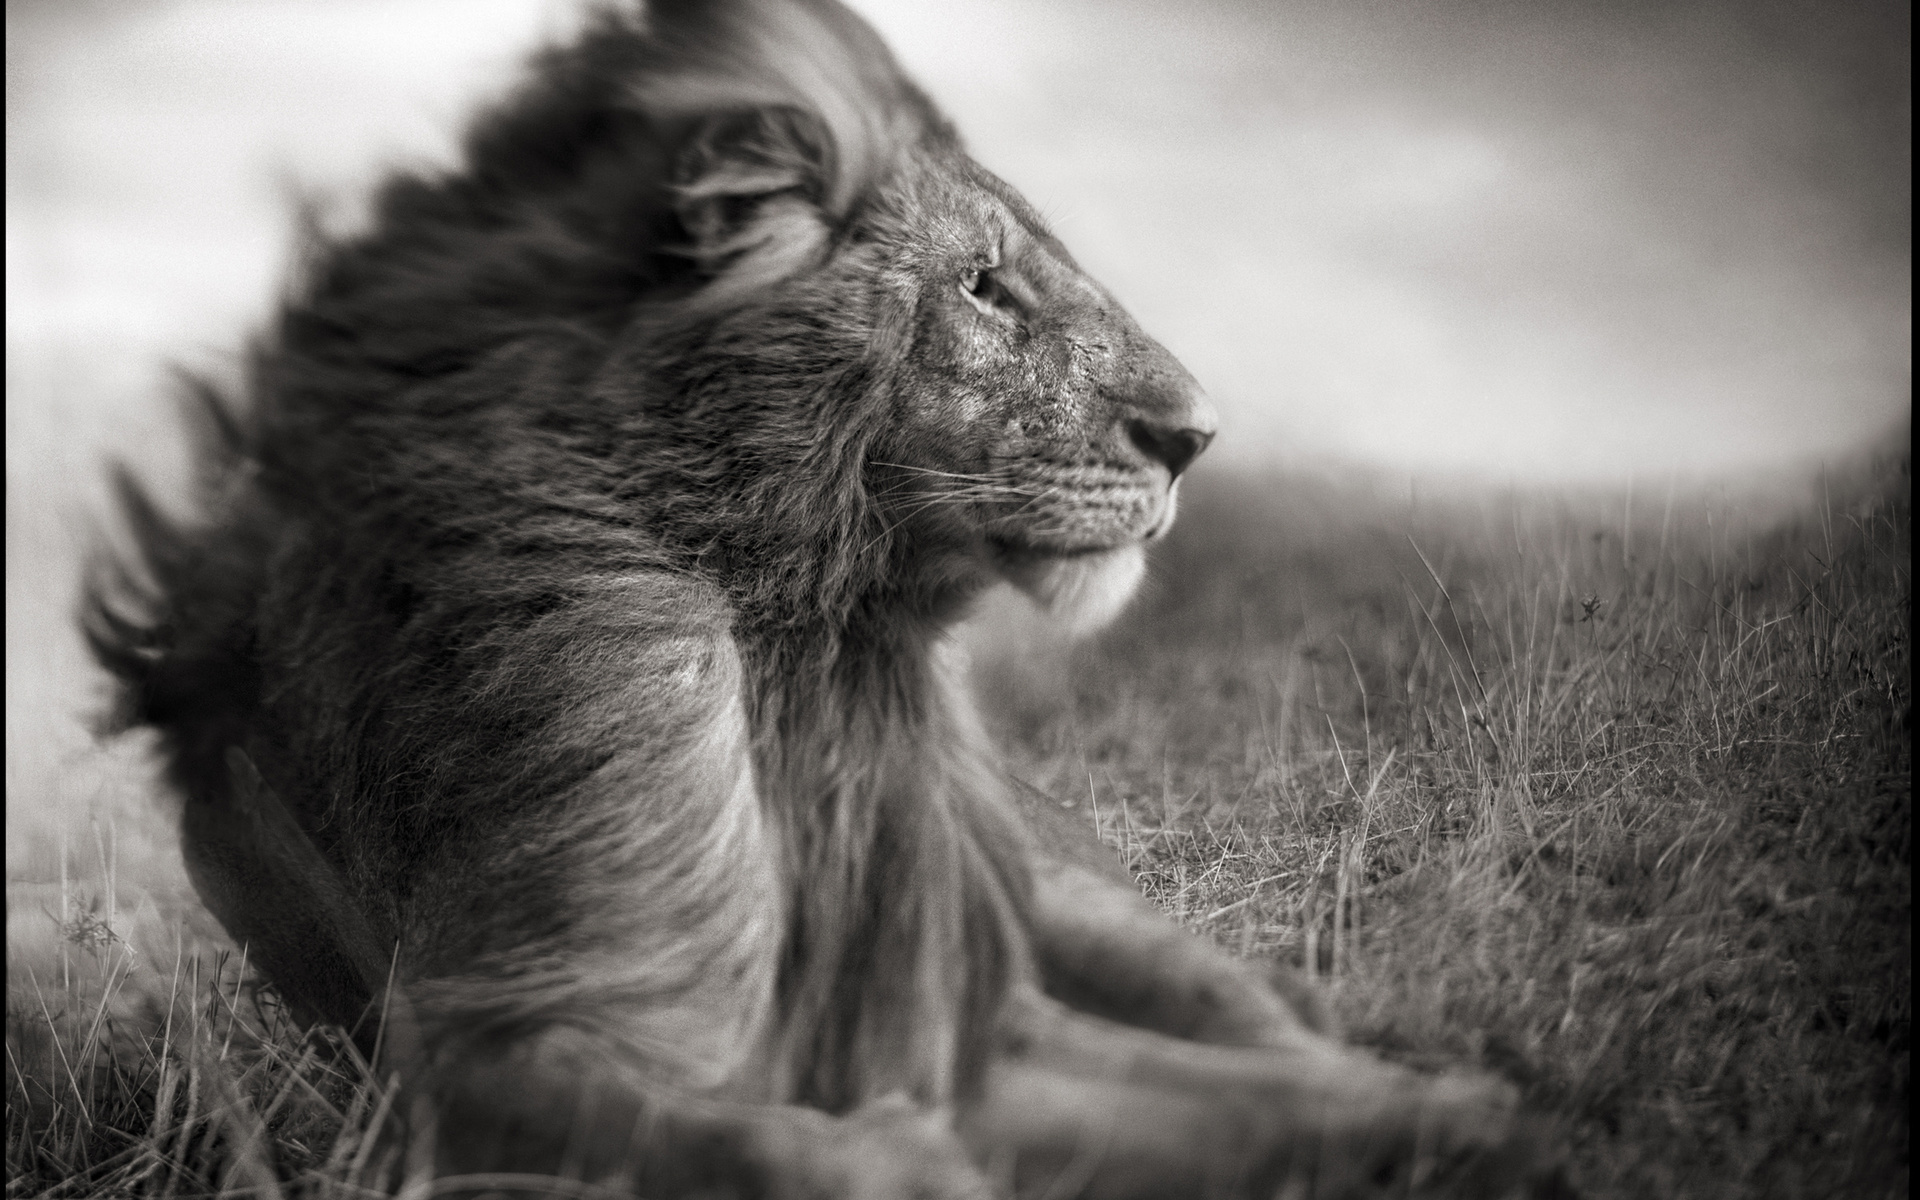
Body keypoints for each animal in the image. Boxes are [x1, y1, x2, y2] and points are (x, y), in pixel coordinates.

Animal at [85, 1, 1555, 1196]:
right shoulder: (486, 1058)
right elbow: (765, 1145)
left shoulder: (967, 1025)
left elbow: (1271, 1104)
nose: (1196, 437)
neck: (809, 644)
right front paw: (910, 1166)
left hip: (1080, 907)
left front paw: (1471, 1119)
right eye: (983, 285)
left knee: (1272, 1014)